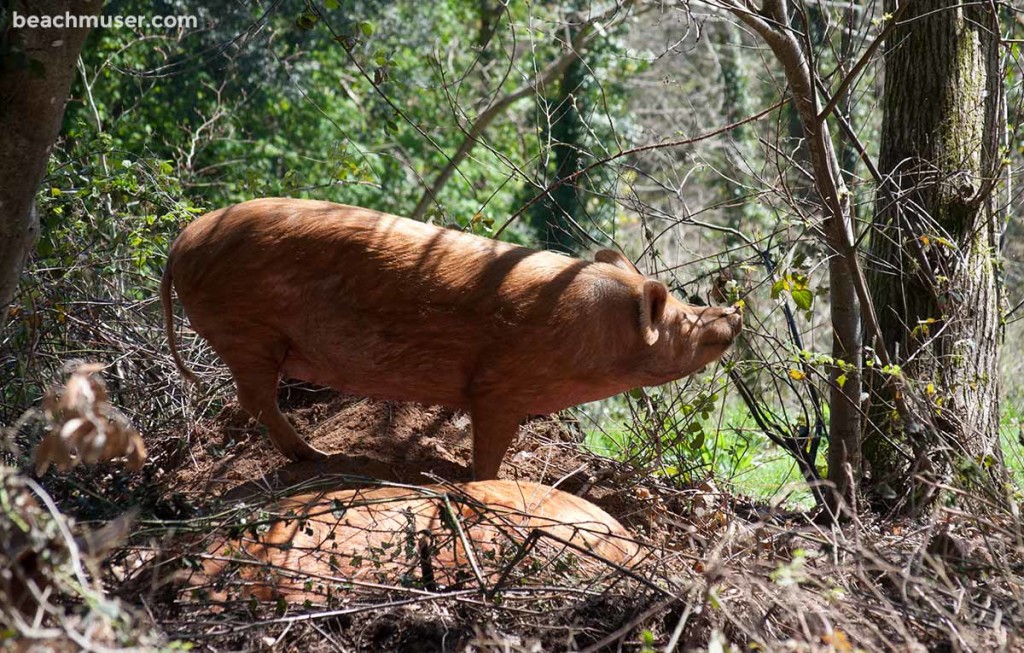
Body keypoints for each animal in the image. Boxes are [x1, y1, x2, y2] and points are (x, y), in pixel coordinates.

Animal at [159, 196, 741, 479]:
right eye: (680, 317)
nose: (733, 311)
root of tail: (181, 242)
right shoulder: (500, 385)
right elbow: (489, 453)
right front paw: (477, 480)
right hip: (246, 332)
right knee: (254, 399)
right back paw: (316, 457)